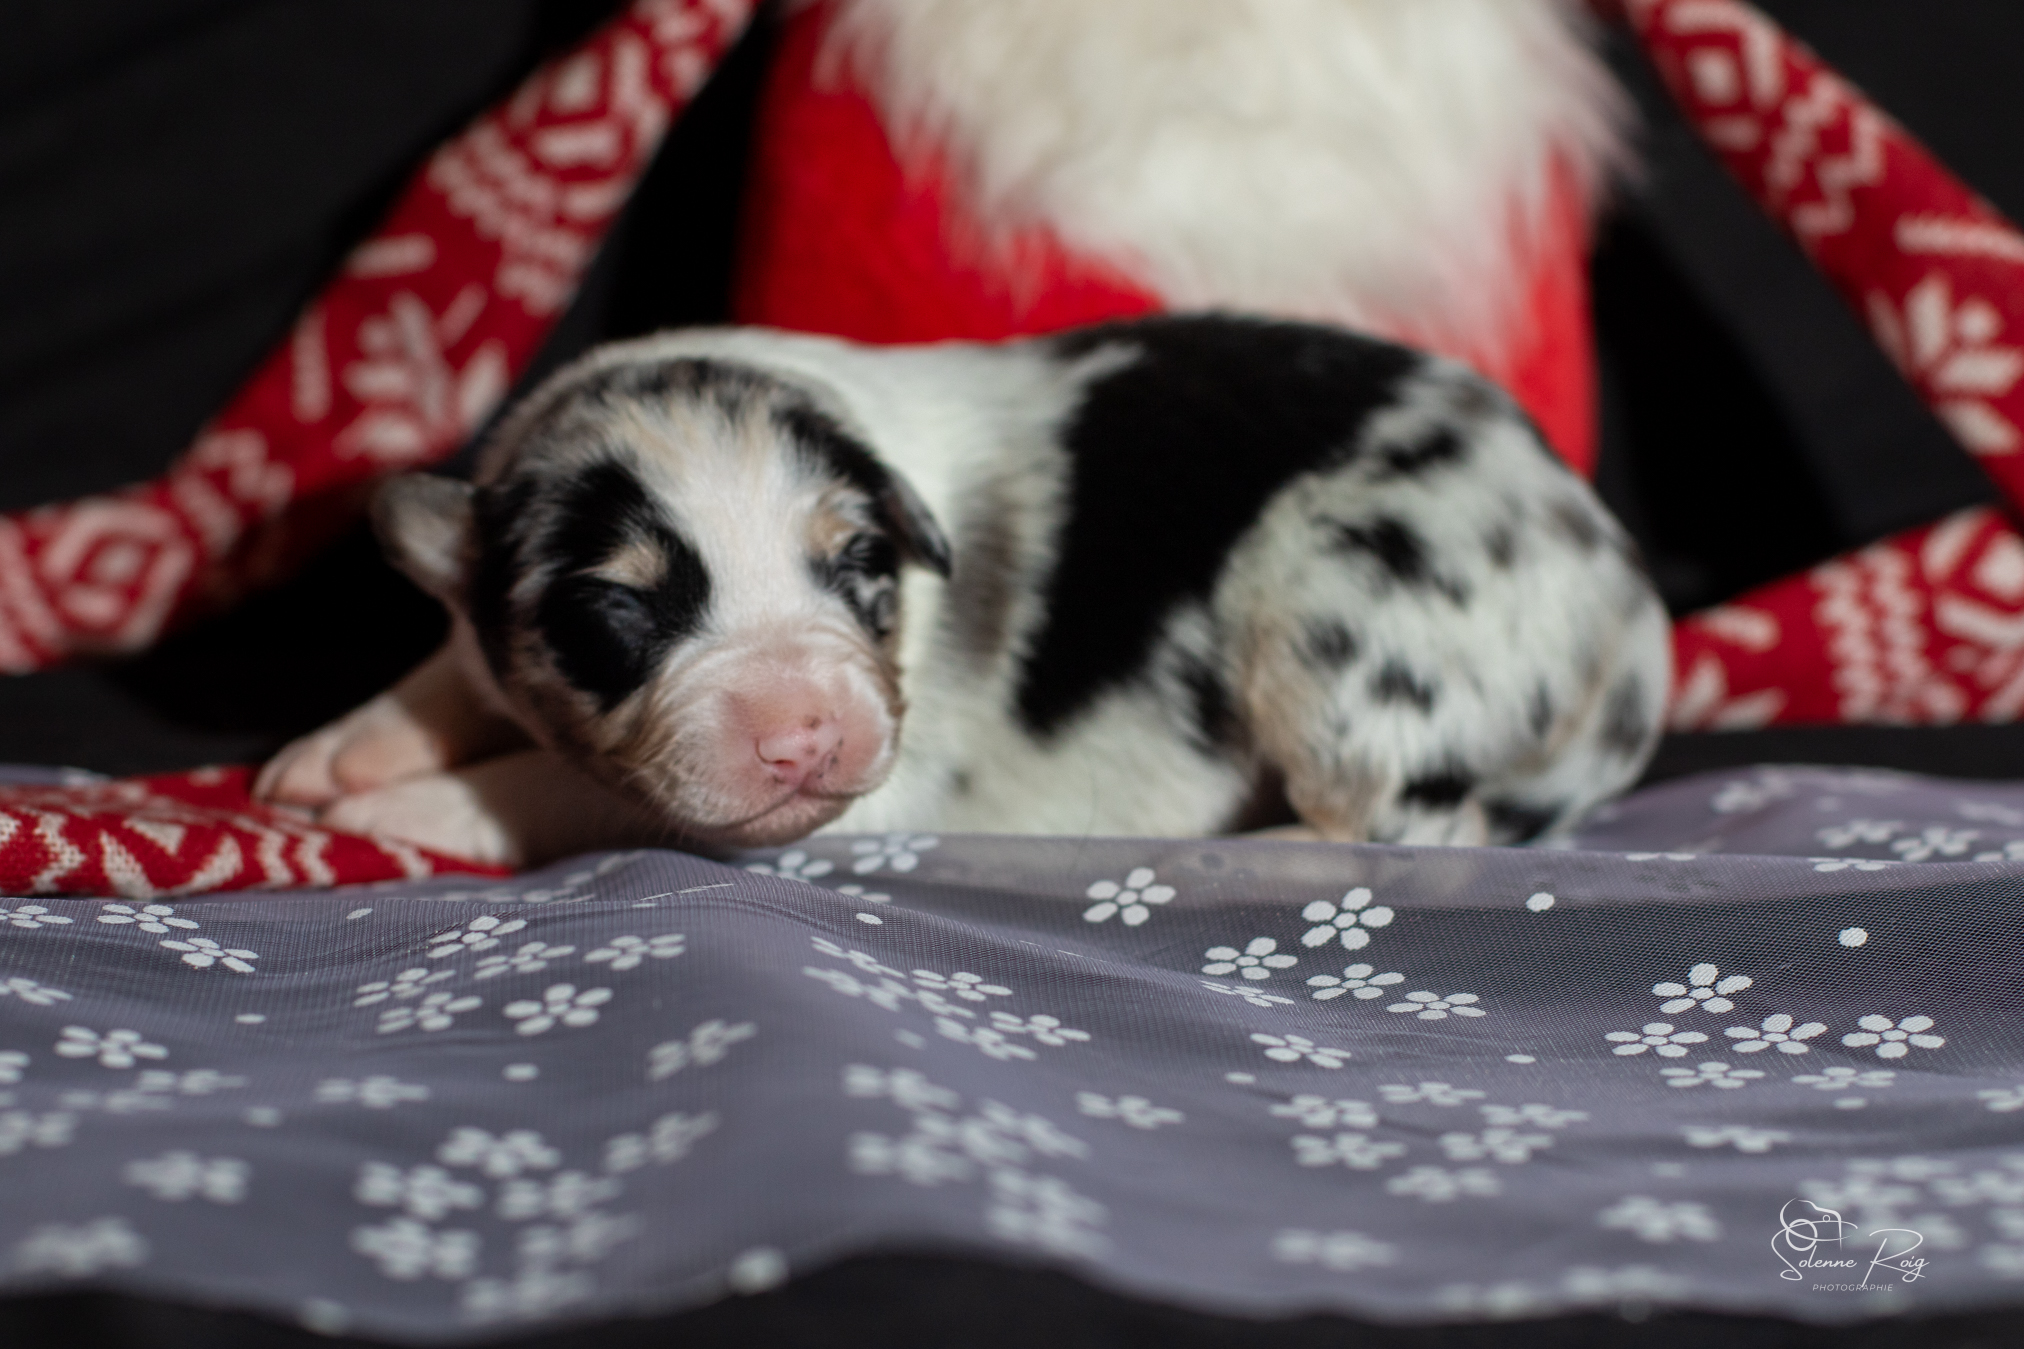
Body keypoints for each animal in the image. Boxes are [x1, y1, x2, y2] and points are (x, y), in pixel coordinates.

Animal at [254, 316, 1670, 866]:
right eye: (617, 613)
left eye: (857, 568)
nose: (807, 735)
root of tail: (1621, 584)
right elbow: (452, 653)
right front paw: (329, 753)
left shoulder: (851, 799)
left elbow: (559, 786)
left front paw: (395, 801)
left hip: (1344, 610)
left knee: (1413, 820)